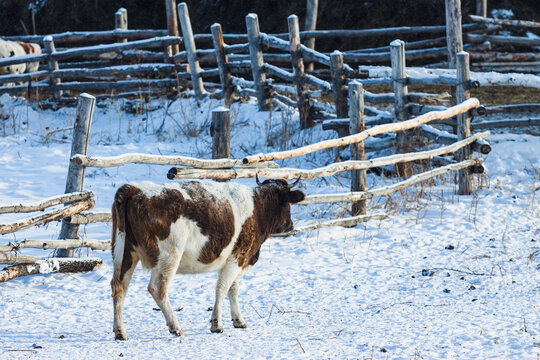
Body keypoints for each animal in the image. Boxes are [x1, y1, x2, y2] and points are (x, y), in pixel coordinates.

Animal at [110, 177, 304, 340]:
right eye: (287, 203)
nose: (290, 225)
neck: (258, 208)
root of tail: (135, 188)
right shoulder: (238, 257)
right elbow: (222, 289)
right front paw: (216, 324)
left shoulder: (233, 259)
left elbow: (233, 290)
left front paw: (238, 320)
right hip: (169, 256)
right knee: (158, 289)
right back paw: (175, 327)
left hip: (125, 253)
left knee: (119, 288)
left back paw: (120, 332)